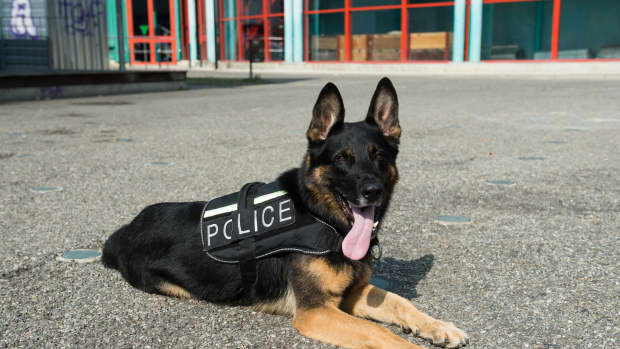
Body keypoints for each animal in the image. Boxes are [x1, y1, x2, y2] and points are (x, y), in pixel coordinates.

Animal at [103, 77, 470, 346]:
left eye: (378, 155)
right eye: (342, 158)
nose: (372, 191)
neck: (323, 218)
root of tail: (125, 229)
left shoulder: (351, 295)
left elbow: (399, 301)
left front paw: (438, 326)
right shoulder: (315, 311)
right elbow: (375, 330)